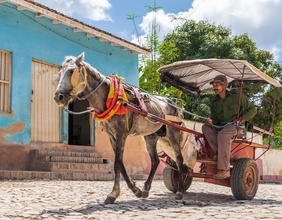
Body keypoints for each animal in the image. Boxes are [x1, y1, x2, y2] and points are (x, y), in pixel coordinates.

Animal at [53, 52, 194, 204]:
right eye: (59, 73)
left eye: (72, 71)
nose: (58, 97)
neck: (111, 98)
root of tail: (174, 104)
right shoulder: (111, 136)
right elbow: (120, 163)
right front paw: (135, 190)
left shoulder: (121, 134)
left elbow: (117, 164)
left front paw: (113, 193)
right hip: (151, 136)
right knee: (155, 161)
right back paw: (146, 189)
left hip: (173, 133)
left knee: (179, 159)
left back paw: (179, 191)